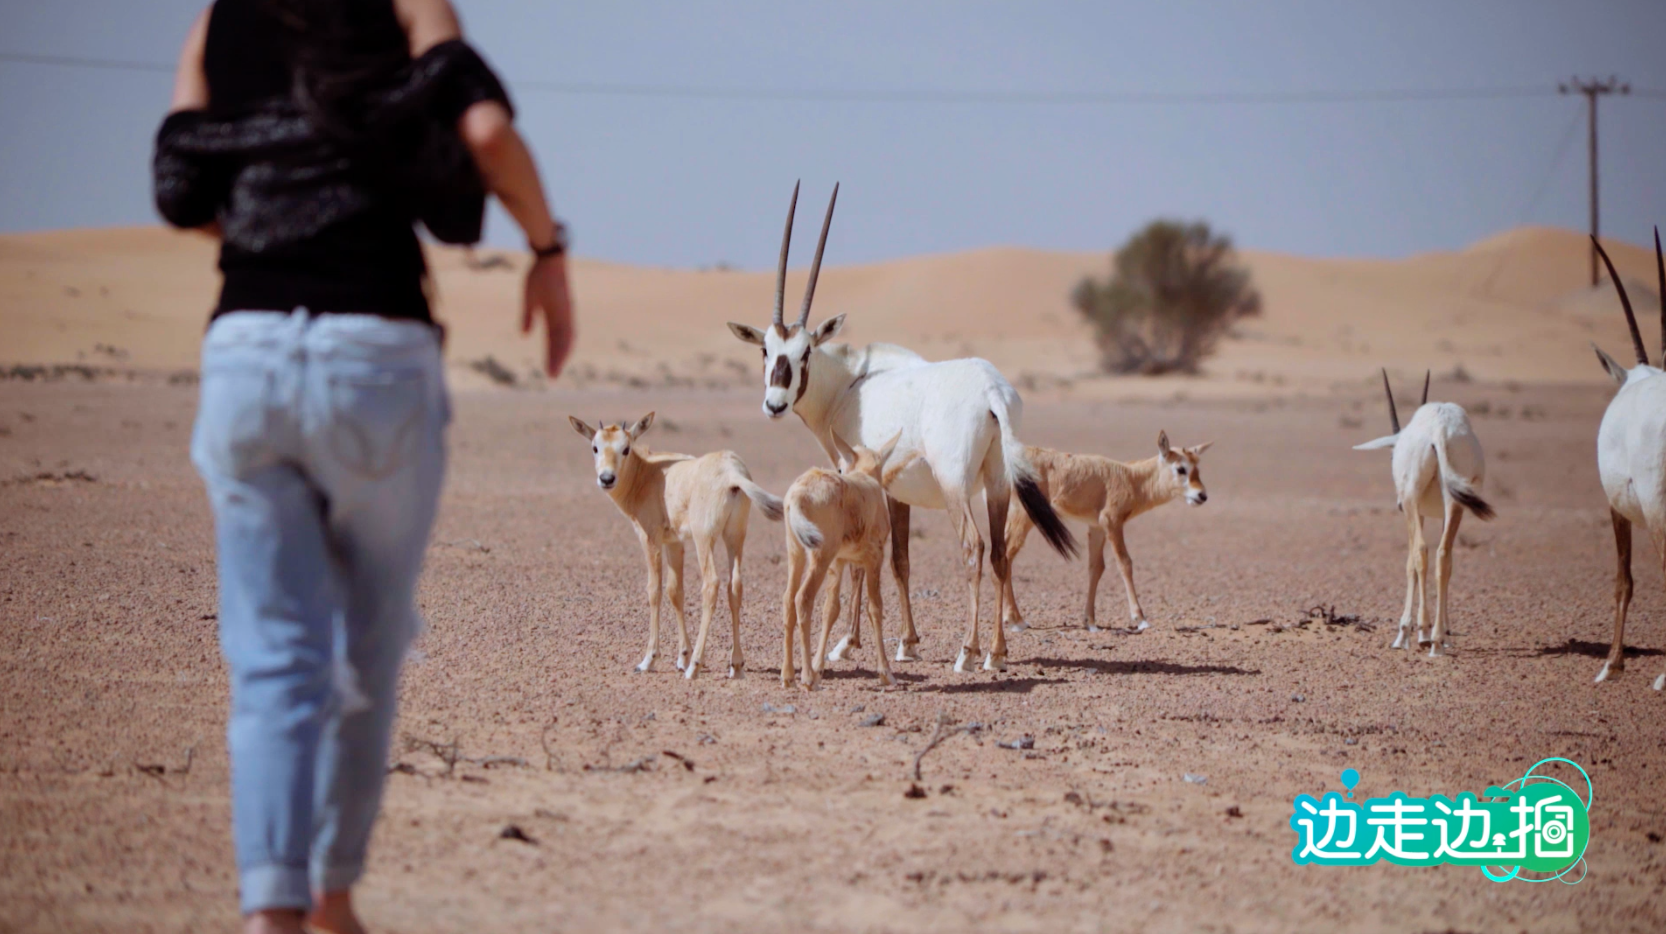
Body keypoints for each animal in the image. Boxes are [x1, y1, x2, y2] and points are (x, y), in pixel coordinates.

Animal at [569, 414, 783, 675]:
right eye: (595, 447)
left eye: (626, 448)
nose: (607, 479)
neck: (649, 473)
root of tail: (732, 473)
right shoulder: (674, 543)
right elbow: (675, 592)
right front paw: (682, 657)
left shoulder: (650, 539)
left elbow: (654, 590)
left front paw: (649, 660)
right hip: (735, 537)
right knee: (735, 586)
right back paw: (736, 665)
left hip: (704, 539)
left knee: (711, 584)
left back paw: (695, 667)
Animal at [776, 432, 912, 689]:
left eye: (840, 466)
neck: (864, 480)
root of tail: (799, 493)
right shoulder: (874, 559)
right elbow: (875, 607)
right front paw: (886, 673)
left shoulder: (838, 563)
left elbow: (831, 609)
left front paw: (819, 665)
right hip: (819, 557)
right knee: (803, 598)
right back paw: (807, 679)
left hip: (797, 553)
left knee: (789, 598)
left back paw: (788, 676)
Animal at [992, 432, 1219, 629]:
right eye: (1181, 468)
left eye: (1197, 468)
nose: (1202, 495)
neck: (1131, 477)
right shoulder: (1112, 522)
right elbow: (1124, 563)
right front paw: (1140, 618)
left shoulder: (1097, 527)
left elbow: (1096, 567)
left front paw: (1090, 621)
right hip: (1023, 516)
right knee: (1007, 556)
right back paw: (1016, 620)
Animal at [1352, 366, 1499, 655]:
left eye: (1392, 456)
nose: (1397, 505)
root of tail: (1439, 428)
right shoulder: (1442, 512)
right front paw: (1445, 633)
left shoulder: (1415, 510)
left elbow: (1410, 562)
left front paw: (1407, 634)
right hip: (1455, 504)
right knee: (1443, 556)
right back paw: (1438, 641)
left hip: (1412, 501)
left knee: (1421, 552)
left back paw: (1421, 634)